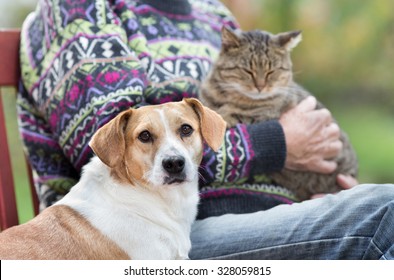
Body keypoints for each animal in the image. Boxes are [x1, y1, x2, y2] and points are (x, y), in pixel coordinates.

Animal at [200, 26, 358, 199]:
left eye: (271, 71)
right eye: (248, 71)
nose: (260, 87)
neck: (229, 96)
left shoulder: (267, 115)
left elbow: (237, 114)